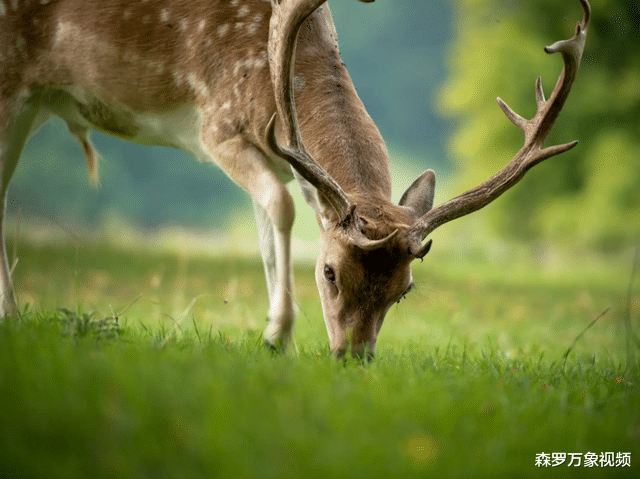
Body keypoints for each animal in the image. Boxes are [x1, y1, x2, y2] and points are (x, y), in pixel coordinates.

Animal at [0, 0, 592, 358]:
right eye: (329, 272)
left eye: (405, 290)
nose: (353, 357)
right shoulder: (217, 124)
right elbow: (281, 210)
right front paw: (279, 333)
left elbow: (266, 230)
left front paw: (270, 333)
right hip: (12, 81)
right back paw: (12, 315)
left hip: (38, 100)